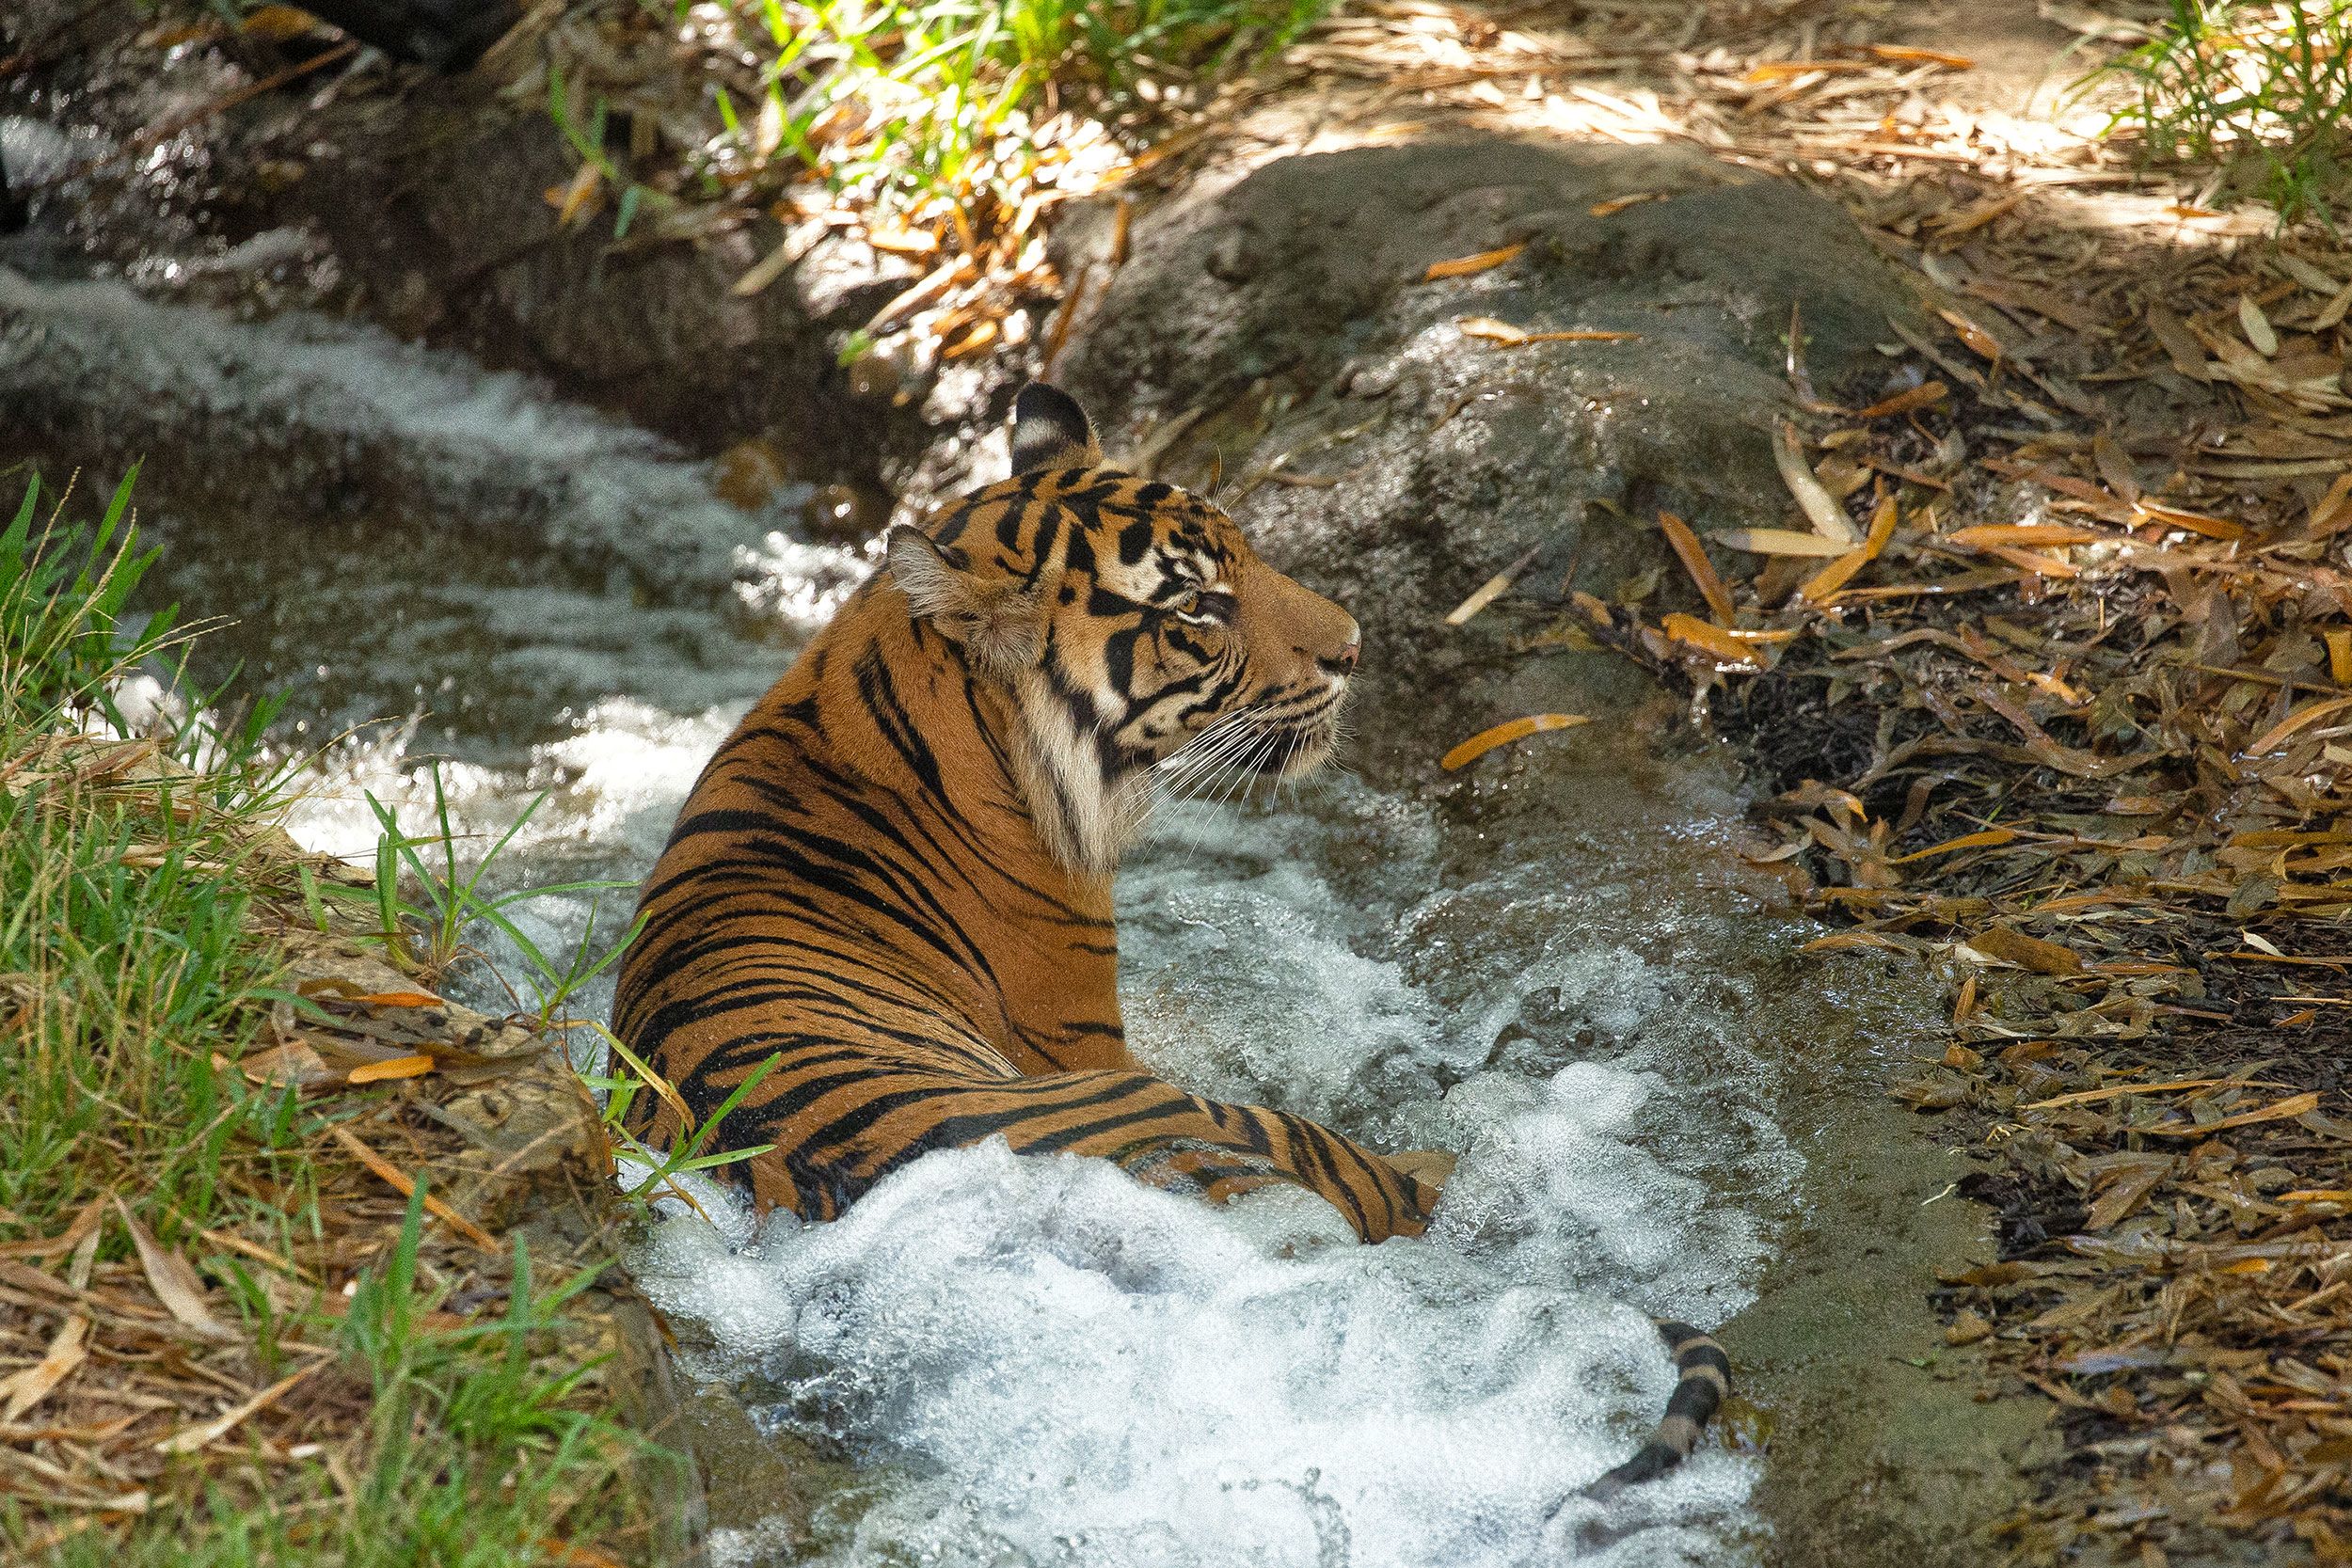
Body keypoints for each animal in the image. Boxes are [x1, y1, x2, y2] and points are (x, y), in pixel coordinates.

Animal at [612, 380, 1731, 1495]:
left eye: (1247, 554)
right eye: (1195, 607)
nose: (1354, 647)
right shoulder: (1086, 1028)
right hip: (1206, 1114)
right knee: (1392, 1186)